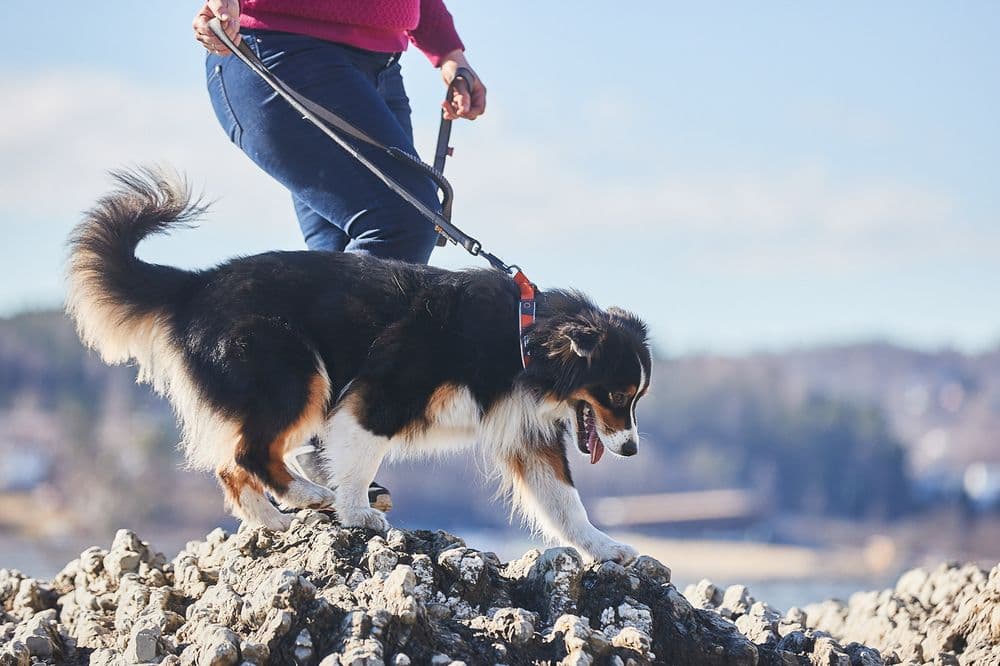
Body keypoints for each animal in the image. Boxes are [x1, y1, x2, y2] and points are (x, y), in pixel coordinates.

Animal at [66, 167, 652, 560]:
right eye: (619, 395)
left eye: (633, 399)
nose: (631, 449)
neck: (523, 337)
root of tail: (195, 284)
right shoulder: (380, 392)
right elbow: (362, 456)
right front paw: (356, 512)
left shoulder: (527, 435)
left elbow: (565, 503)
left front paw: (605, 547)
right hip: (294, 373)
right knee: (249, 454)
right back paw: (309, 495)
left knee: (232, 464)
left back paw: (275, 522)